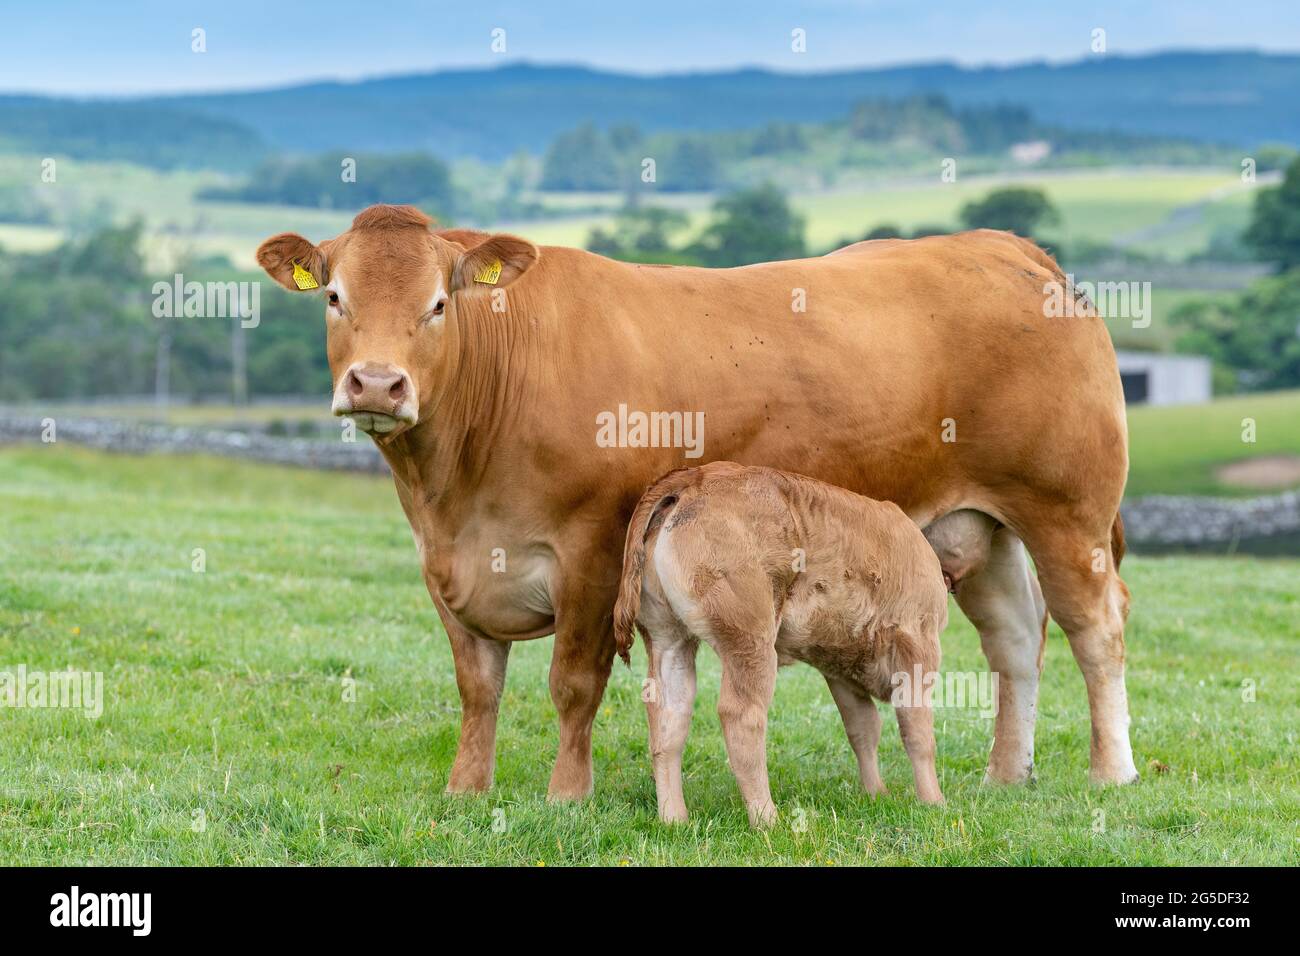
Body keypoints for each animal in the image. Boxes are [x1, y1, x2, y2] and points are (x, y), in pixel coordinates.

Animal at [256, 204, 1137, 802]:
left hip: (1068, 513)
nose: (377, 384)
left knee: (1096, 630)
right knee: (1017, 637)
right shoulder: (448, 565)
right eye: (333, 298)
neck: (454, 490)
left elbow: (573, 683)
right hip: (976, 526)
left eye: (439, 303)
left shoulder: (590, 551)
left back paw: (1112, 771)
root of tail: (1002, 244)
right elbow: (479, 687)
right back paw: (1005, 774)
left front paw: (566, 795)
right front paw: (466, 790)